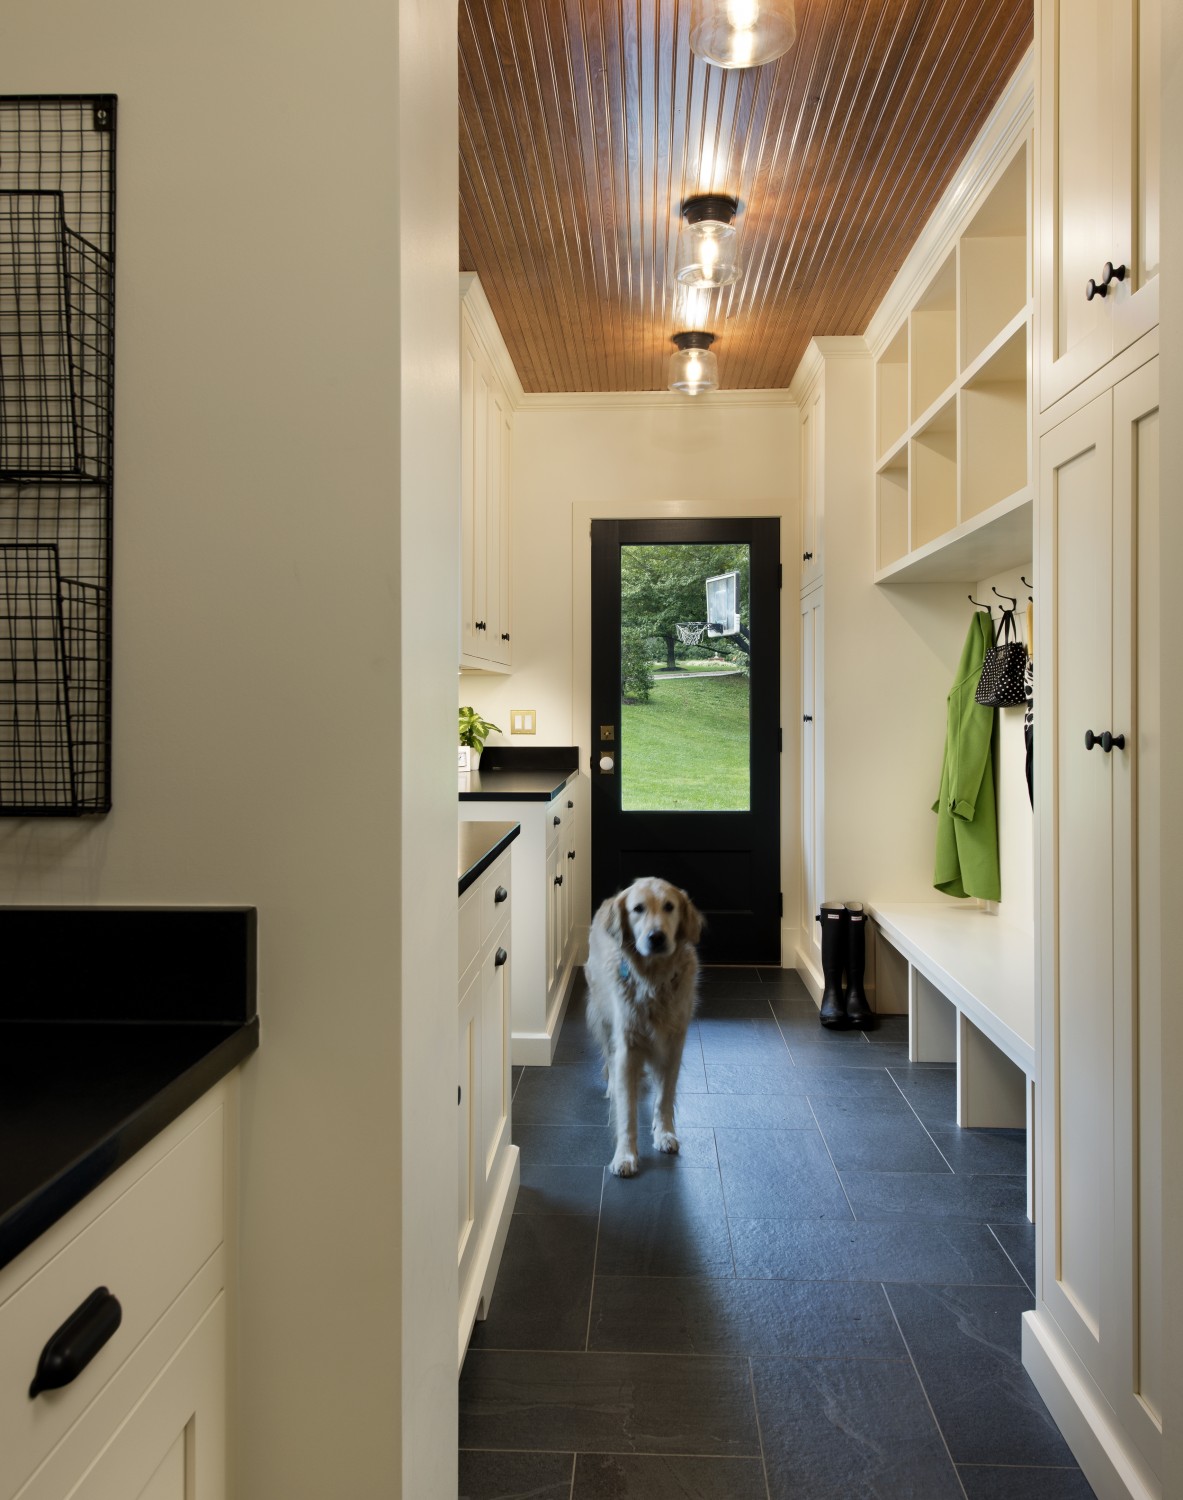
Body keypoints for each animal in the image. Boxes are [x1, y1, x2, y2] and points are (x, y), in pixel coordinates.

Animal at [584, 876, 701, 1176]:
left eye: (669, 906)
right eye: (638, 909)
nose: (656, 937)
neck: (653, 979)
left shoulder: (673, 1044)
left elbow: (664, 1097)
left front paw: (665, 1133)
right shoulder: (627, 1046)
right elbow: (627, 1111)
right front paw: (625, 1155)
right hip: (604, 1020)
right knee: (610, 1059)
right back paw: (613, 1086)